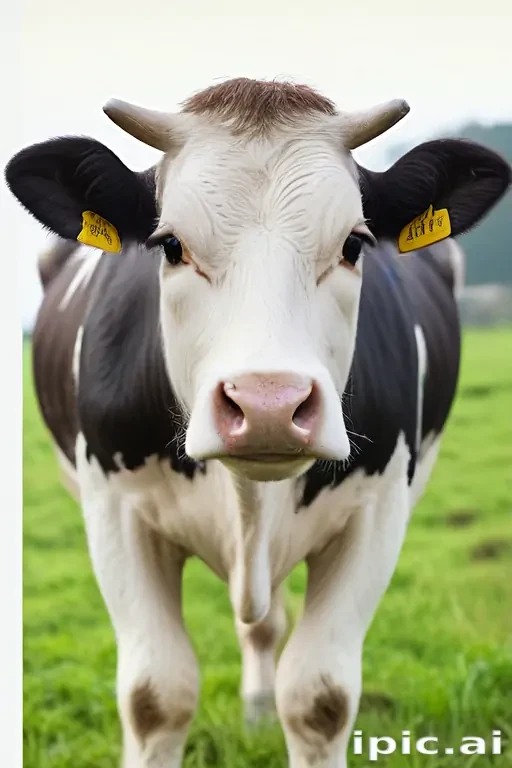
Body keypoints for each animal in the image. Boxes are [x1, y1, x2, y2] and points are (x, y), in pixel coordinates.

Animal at [8, 78, 510, 768]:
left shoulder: (379, 510)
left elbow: (320, 698)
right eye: (170, 245)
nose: (268, 404)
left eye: (354, 243)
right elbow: (155, 694)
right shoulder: (113, 508)